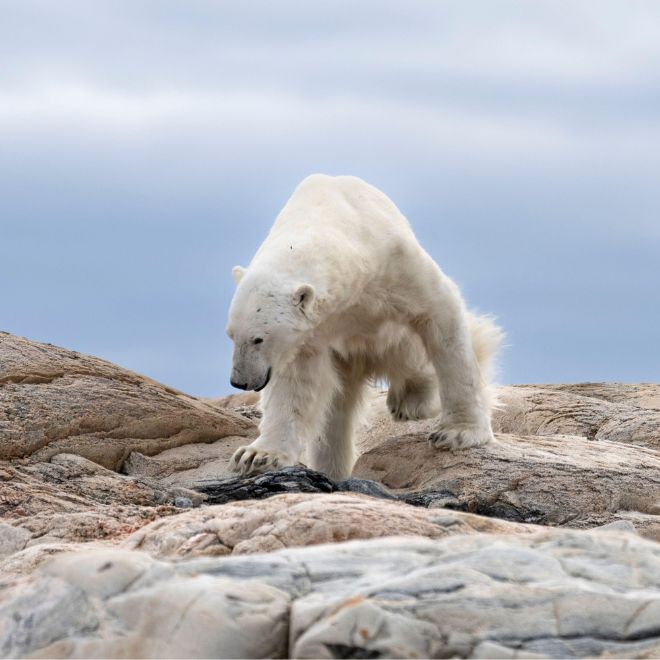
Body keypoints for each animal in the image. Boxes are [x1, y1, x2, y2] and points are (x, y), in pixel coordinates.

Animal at [226, 174, 503, 480]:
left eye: (258, 339)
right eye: (231, 336)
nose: (240, 382)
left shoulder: (395, 264)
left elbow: (441, 318)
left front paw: (458, 433)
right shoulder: (314, 332)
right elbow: (296, 383)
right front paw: (257, 455)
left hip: (395, 341)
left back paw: (411, 401)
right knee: (336, 412)